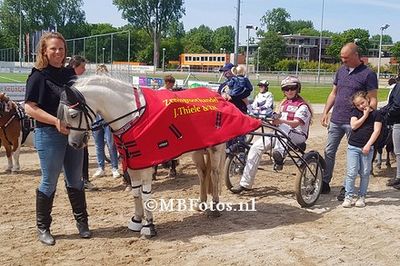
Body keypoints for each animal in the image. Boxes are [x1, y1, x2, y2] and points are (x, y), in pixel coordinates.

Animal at [57, 74, 260, 237]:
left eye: (73, 114)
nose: (74, 144)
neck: (133, 115)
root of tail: (219, 96)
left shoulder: (146, 163)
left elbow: (145, 193)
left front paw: (149, 226)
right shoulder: (133, 163)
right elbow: (135, 192)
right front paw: (136, 220)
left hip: (216, 149)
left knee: (215, 174)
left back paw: (214, 208)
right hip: (197, 151)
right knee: (203, 174)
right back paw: (201, 203)